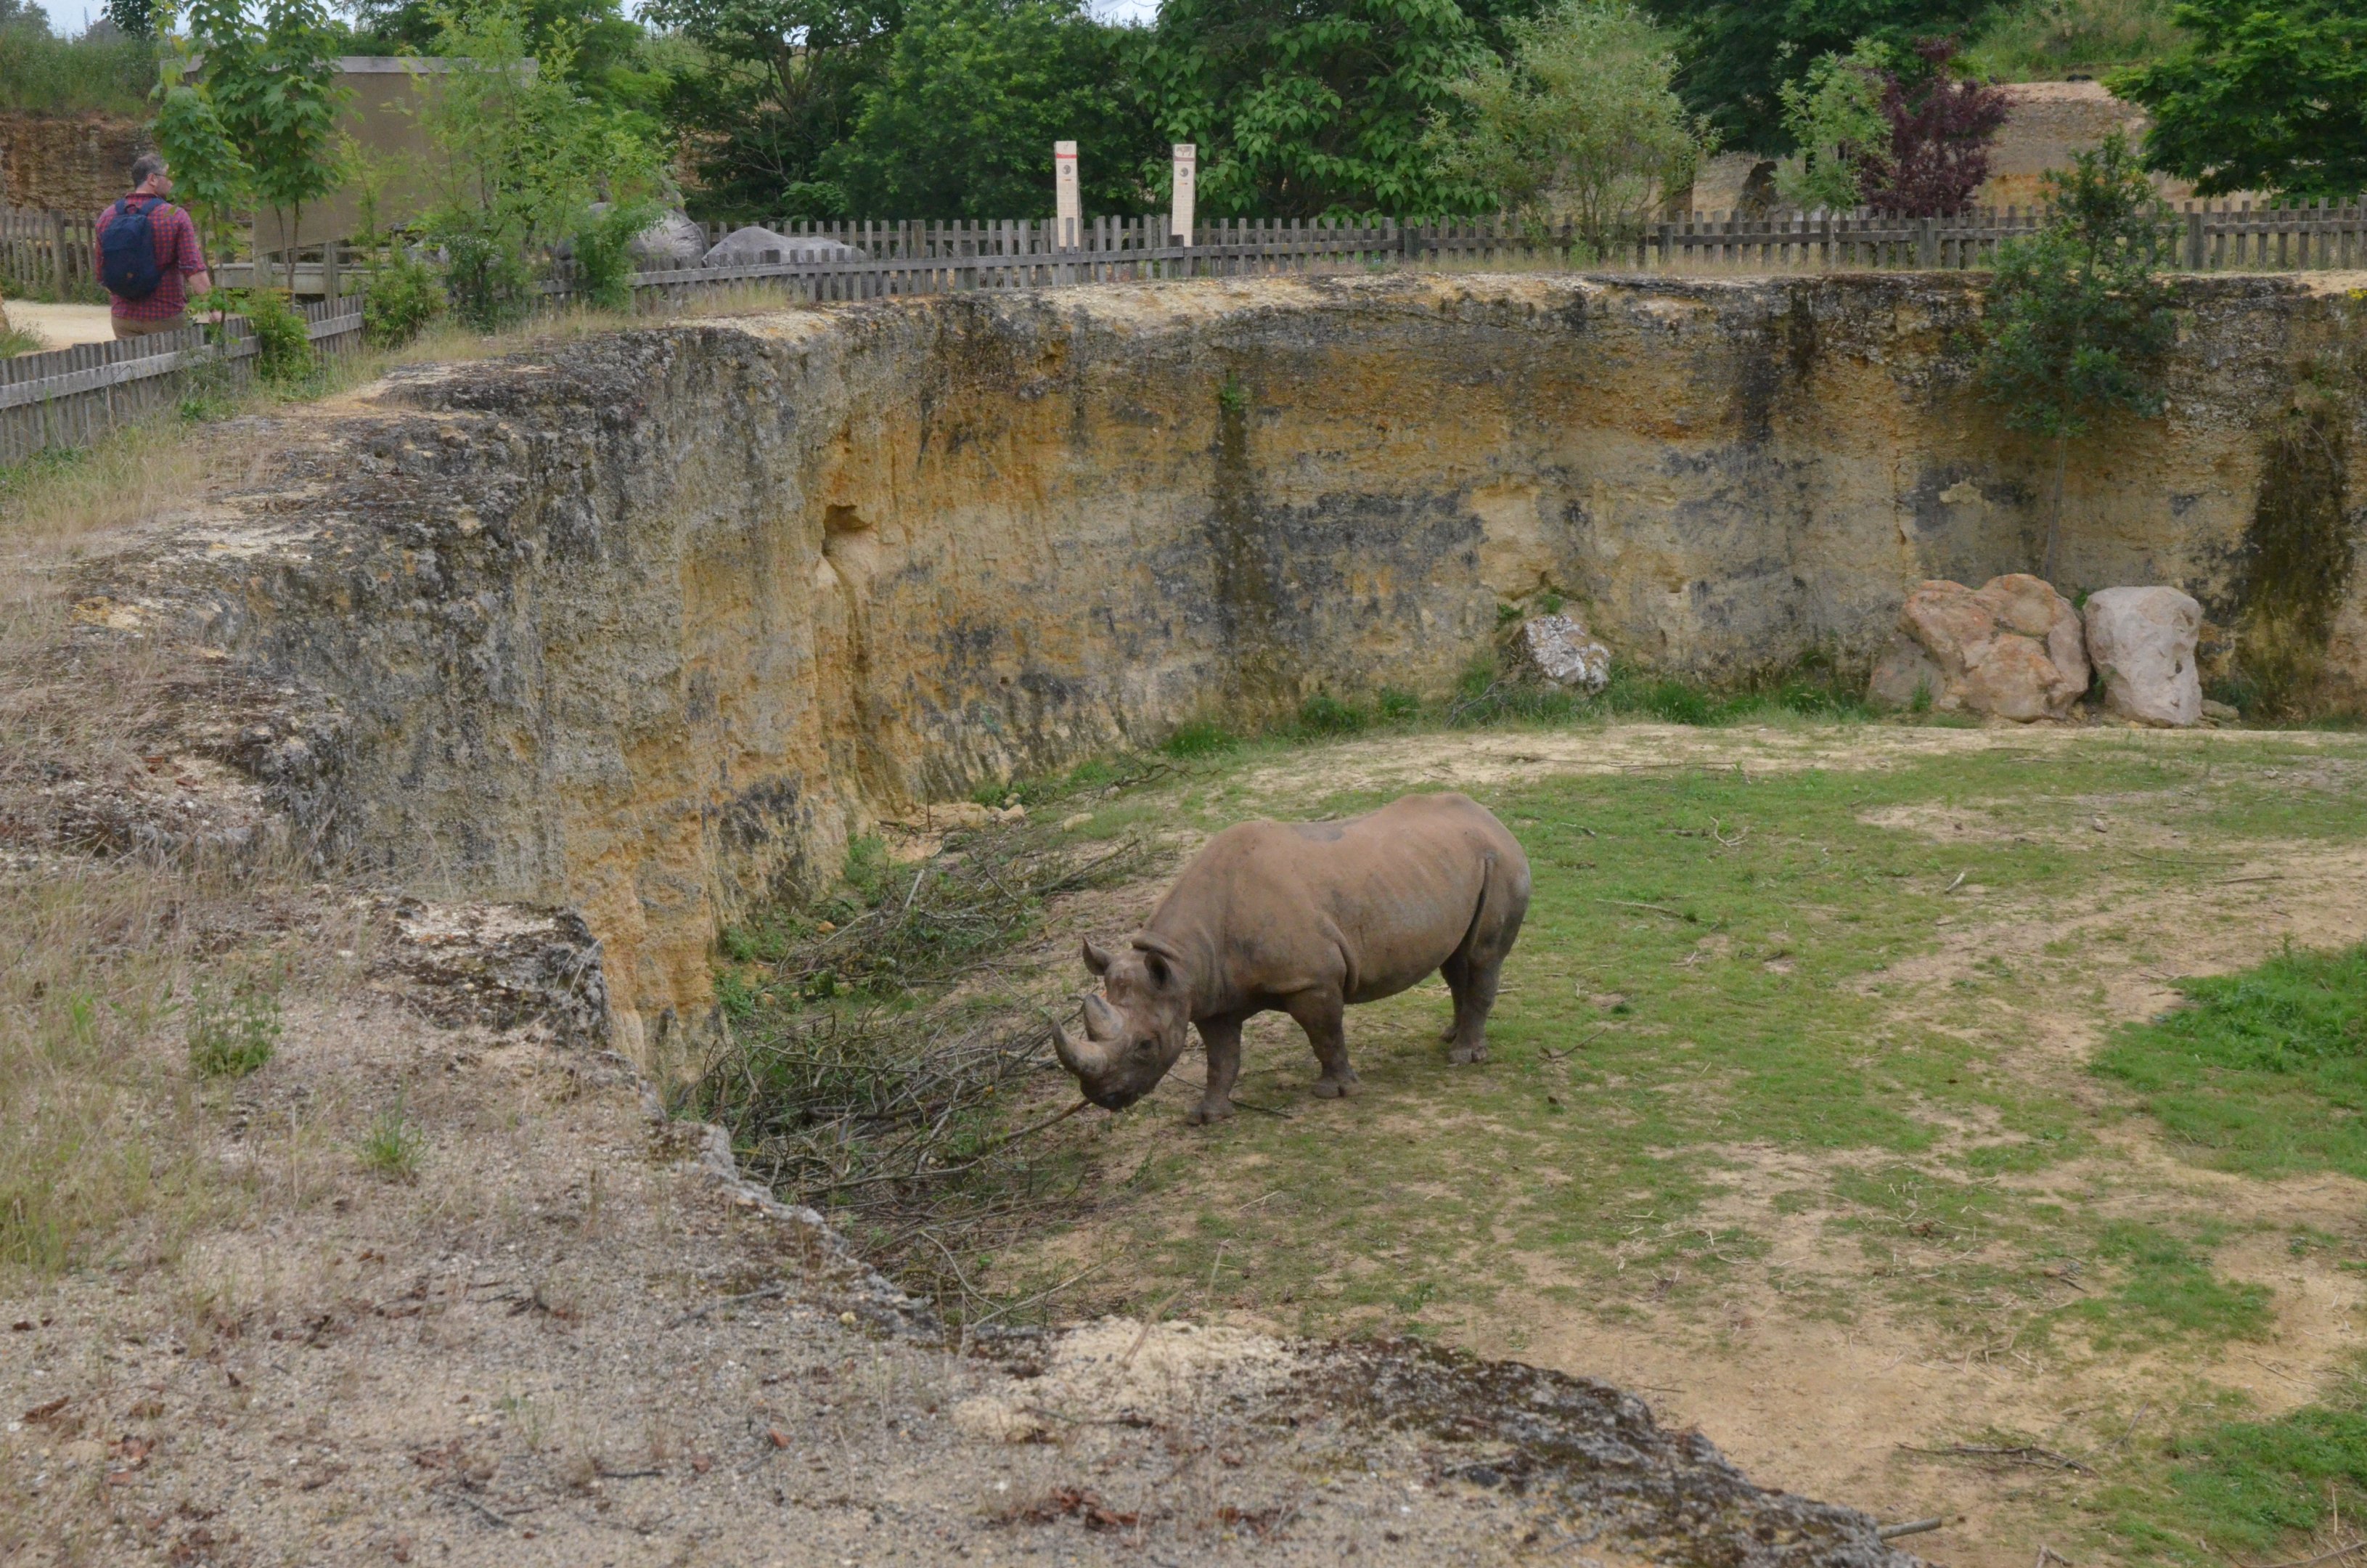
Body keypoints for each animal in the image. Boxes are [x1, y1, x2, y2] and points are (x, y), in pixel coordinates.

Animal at [1053, 792, 1529, 1122]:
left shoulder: (1311, 980)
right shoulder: (1206, 994)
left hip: (1502, 862)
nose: (1103, 1099)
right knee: (1457, 960)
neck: (1179, 962)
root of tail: (1491, 818)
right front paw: (1208, 1116)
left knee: (1483, 956)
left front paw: (1336, 1093)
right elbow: (1221, 1058)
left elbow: (1325, 1035)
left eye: (1146, 1046)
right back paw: (1452, 1038)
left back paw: (1463, 1057)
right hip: (1448, 868)